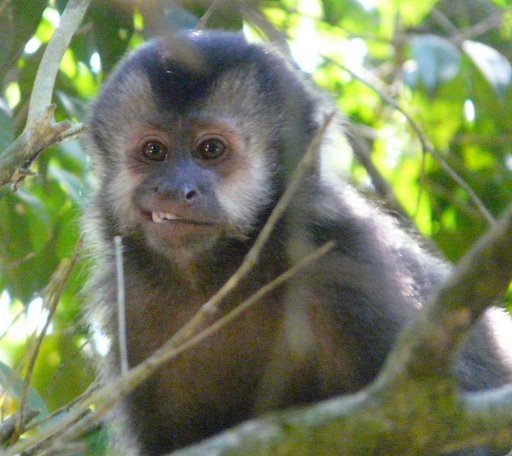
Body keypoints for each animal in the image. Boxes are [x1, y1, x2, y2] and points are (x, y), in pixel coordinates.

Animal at [83, 30, 512, 455]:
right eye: (154, 151)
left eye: (211, 149)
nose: (175, 189)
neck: (229, 274)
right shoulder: (134, 309)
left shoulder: (351, 268)